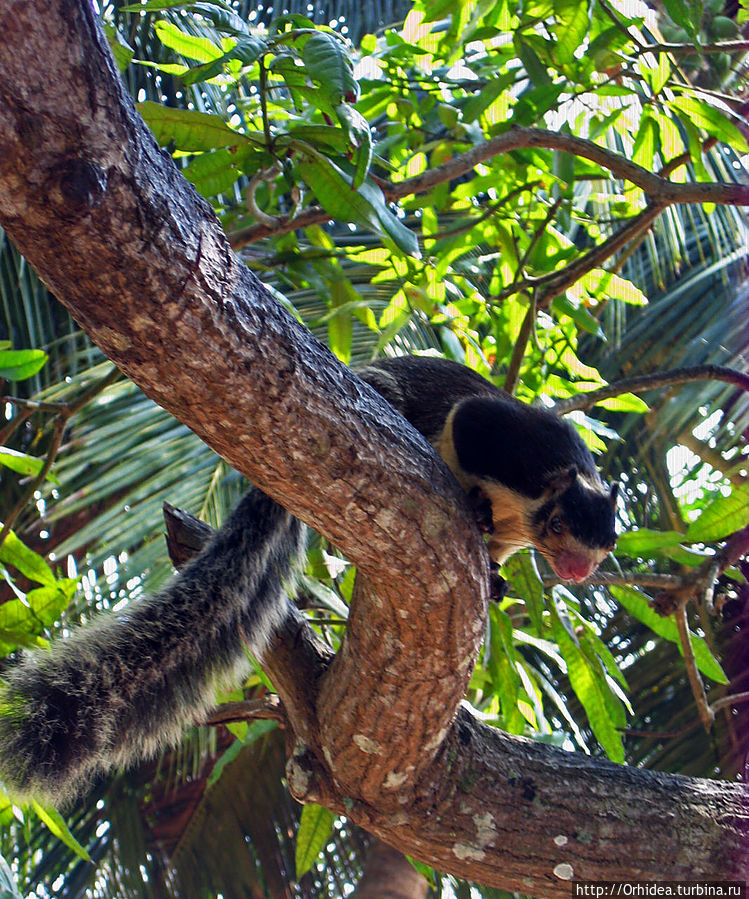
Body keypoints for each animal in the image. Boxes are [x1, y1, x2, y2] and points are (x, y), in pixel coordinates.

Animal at [0, 352, 616, 800]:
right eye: (558, 525)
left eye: (603, 547)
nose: (574, 569)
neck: (531, 510)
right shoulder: (514, 448)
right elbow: (466, 421)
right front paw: (477, 509)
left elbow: (496, 556)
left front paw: (494, 577)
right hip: (387, 396)